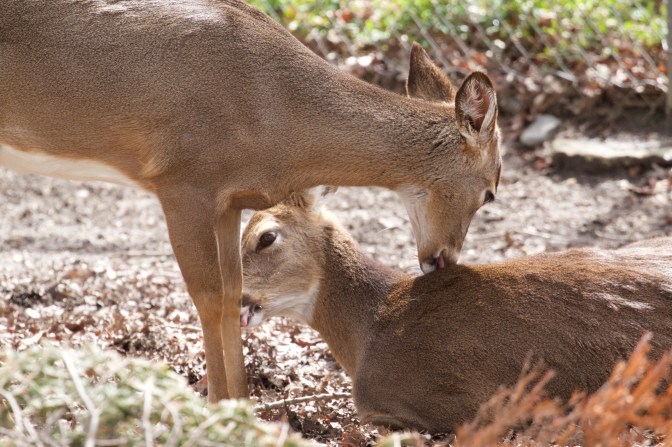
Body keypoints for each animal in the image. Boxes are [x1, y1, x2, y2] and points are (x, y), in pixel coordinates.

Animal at [0, 0, 502, 400]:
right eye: (491, 191)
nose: (442, 259)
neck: (275, 112)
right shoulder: (183, 179)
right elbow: (208, 296)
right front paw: (218, 405)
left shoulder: (228, 199)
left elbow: (231, 291)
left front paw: (242, 403)